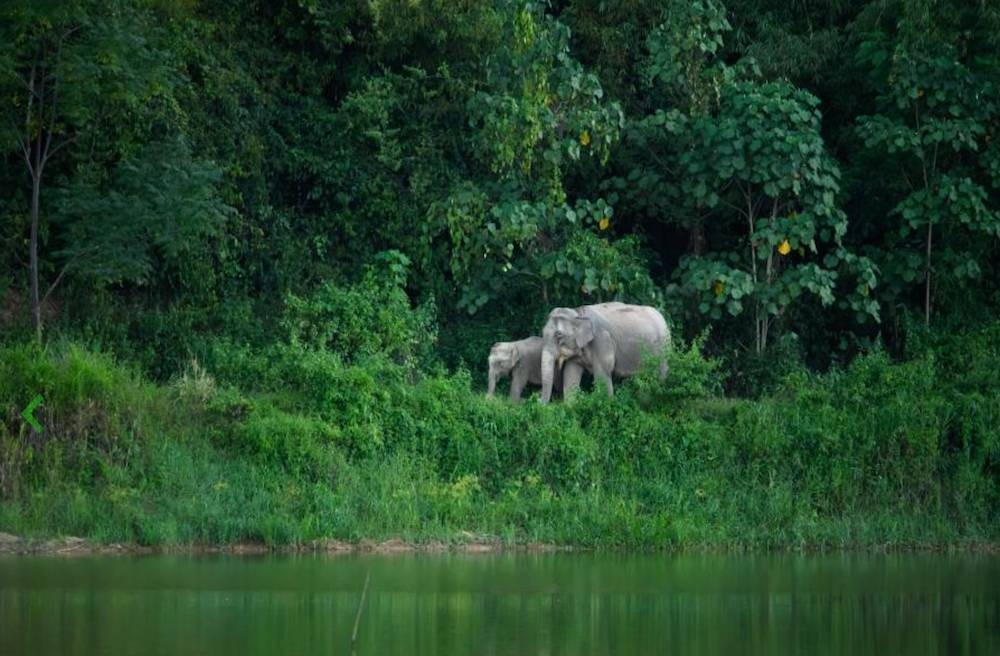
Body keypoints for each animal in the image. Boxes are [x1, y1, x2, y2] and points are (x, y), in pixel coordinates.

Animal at [539, 302, 669, 403]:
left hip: (662, 348)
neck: (578, 313)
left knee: (659, 375)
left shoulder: (602, 340)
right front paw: (570, 406)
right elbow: (570, 373)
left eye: (559, 336)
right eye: (542, 332)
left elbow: (602, 375)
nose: (537, 399)